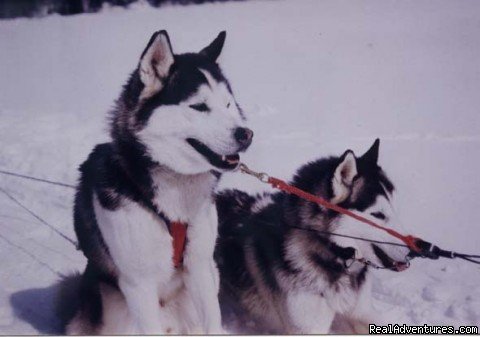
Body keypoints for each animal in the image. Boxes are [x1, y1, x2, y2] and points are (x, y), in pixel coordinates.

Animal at [60, 29, 253, 334]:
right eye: (199, 106)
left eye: (228, 104)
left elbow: (212, 318)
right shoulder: (138, 284)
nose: (246, 134)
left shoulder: (199, 266)